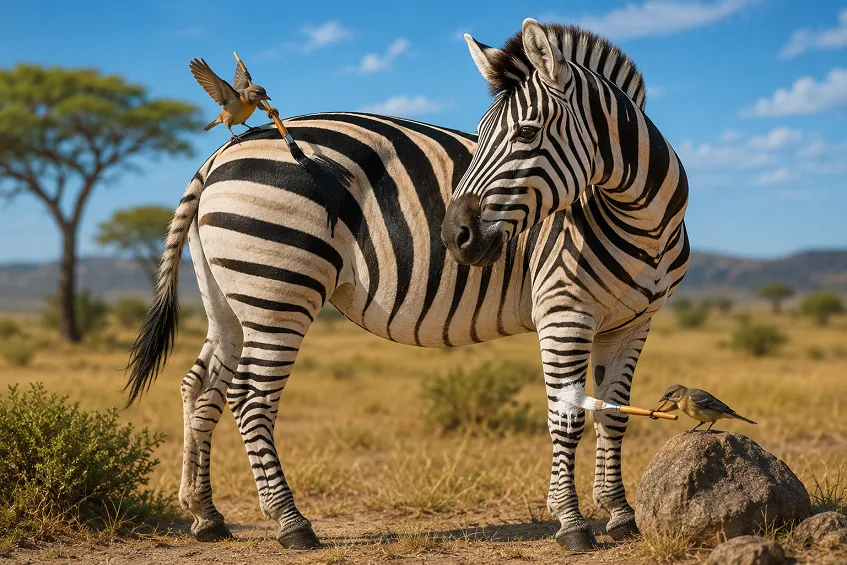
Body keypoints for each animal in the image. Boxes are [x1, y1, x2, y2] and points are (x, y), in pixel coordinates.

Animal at [126, 18, 688, 552]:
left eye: (526, 134)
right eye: (480, 133)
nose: (453, 235)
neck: (641, 221)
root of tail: (219, 154)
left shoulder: (633, 323)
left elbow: (613, 415)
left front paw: (621, 515)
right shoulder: (563, 309)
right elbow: (567, 415)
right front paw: (572, 523)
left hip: (231, 299)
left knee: (201, 387)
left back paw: (206, 514)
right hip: (279, 291)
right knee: (250, 398)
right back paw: (291, 523)